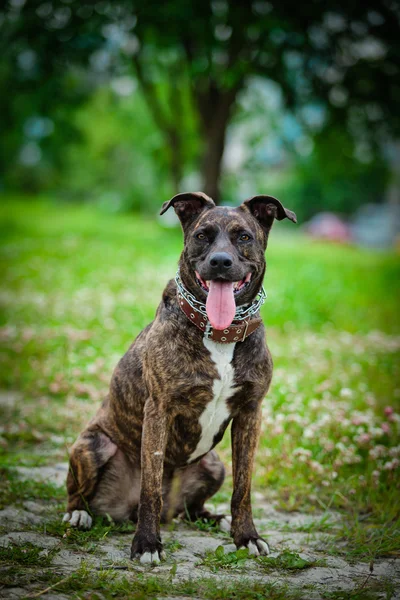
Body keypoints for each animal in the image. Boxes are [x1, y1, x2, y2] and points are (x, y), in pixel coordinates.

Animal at [63, 192, 296, 564]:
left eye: (244, 237)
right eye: (202, 235)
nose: (220, 262)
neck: (219, 333)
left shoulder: (250, 413)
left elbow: (243, 487)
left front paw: (246, 536)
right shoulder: (159, 410)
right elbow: (150, 486)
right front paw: (147, 544)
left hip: (214, 465)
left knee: (191, 509)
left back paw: (215, 518)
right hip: (94, 445)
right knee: (82, 493)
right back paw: (79, 514)